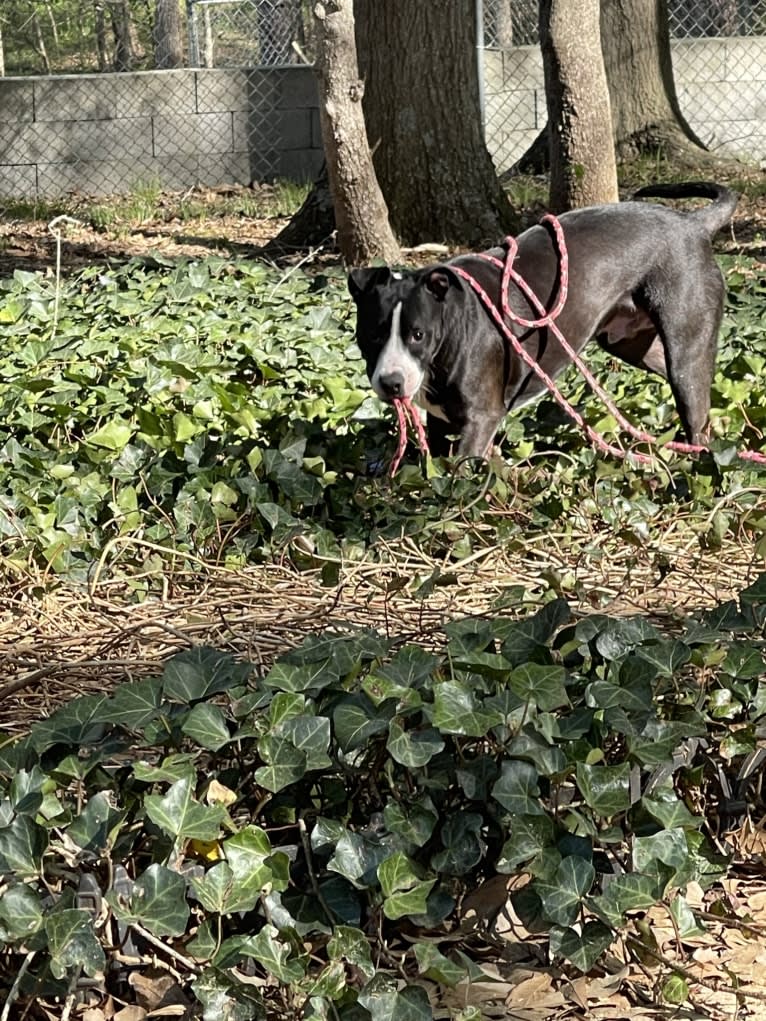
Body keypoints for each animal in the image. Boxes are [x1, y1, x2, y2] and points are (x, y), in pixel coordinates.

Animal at [351, 180, 739, 459]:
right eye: (372, 335)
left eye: (418, 335)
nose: (391, 382)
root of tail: (693, 224)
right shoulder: (442, 423)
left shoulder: (478, 420)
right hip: (636, 346)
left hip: (685, 354)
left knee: (696, 417)